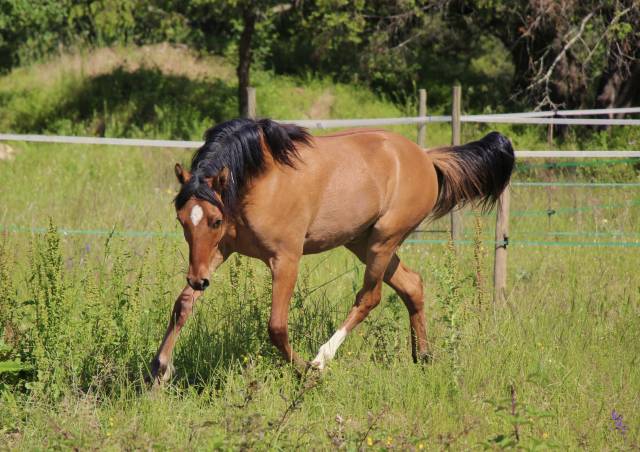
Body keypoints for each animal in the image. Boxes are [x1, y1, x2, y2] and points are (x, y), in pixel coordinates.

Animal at [150, 118, 514, 383]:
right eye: (182, 219)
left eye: (214, 220)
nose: (198, 280)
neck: (260, 180)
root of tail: (426, 157)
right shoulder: (220, 250)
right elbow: (183, 305)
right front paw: (160, 369)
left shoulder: (286, 258)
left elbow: (276, 326)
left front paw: (306, 371)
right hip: (362, 242)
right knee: (413, 286)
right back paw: (423, 357)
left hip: (383, 240)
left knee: (369, 297)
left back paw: (322, 358)